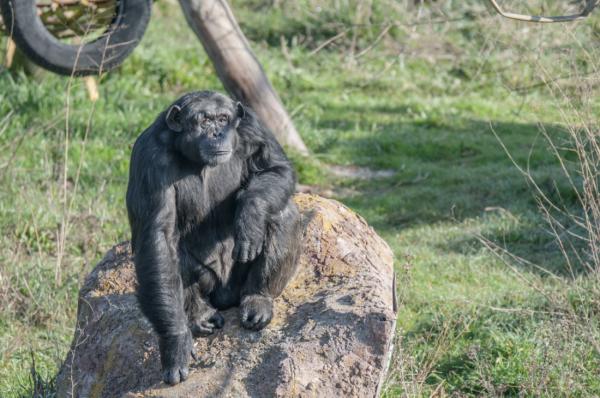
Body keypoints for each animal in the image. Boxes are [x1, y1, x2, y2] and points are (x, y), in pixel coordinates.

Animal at [127, 91, 304, 386]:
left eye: (223, 119)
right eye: (204, 120)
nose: (218, 132)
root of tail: (226, 297)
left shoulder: (252, 126)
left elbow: (275, 169)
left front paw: (250, 215)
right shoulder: (148, 158)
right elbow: (158, 237)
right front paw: (175, 343)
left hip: (238, 283)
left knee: (283, 212)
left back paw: (258, 299)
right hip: (209, 284)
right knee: (170, 253)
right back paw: (199, 315)